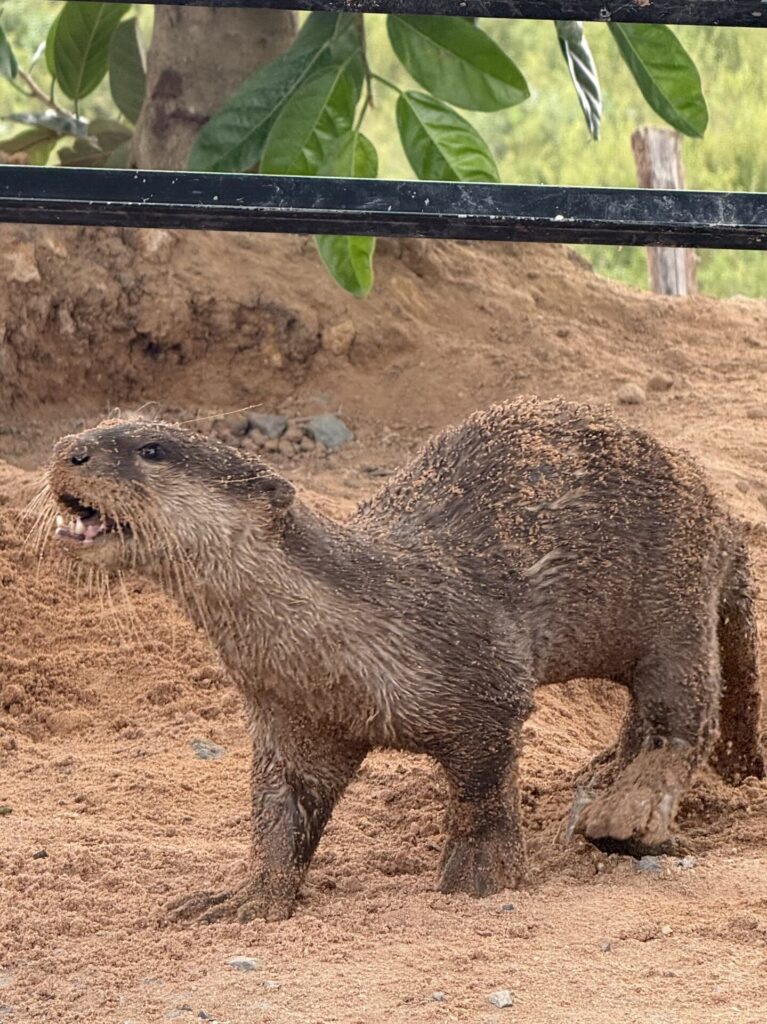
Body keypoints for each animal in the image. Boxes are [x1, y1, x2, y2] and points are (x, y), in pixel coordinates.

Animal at [46, 397, 764, 921]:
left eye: (152, 449)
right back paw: (603, 770)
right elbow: (277, 815)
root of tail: (723, 514)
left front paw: (481, 879)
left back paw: (625, 812)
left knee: (685, 713)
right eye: (96, 427)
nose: (67, 449)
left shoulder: (485, 678)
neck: (340, 644)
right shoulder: (292, 721)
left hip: (673, 600)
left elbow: (481, 792)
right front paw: (246, 897)